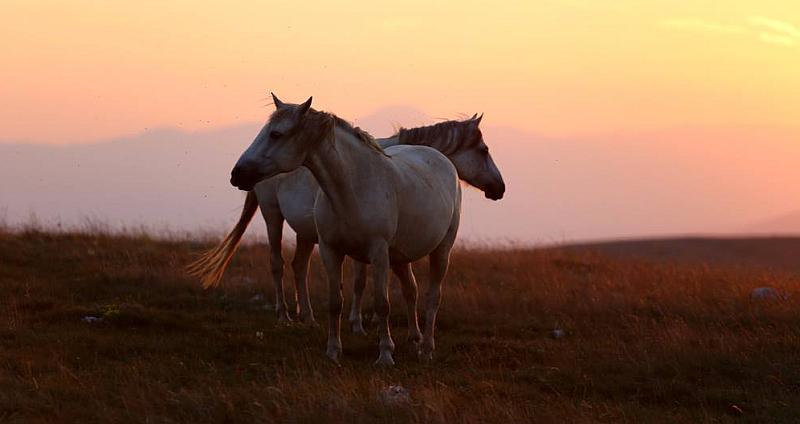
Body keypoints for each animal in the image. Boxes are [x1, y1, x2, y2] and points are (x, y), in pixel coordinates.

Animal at [189, 104, 506, 332]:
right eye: (484, 150)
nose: (500, 188)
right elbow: (360, 281)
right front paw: (359, 323)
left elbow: (362, 280)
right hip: (272, 215)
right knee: (277, 263)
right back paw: (284, 315)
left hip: (305, 233)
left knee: (299, 266)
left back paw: (308, 317)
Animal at [228, 95, 462, 364]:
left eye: (276, 134)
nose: (237, 174)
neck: (353, 187)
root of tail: (444, 161)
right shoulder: (331, 251)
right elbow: (335, 302)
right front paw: (333, 351)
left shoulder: (378, 254)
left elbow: (382, 303)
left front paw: (385, 354)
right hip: (399, 257)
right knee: (410, 290)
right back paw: (415, 339)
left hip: (441, 251)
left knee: (433, 296)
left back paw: (426, 348)